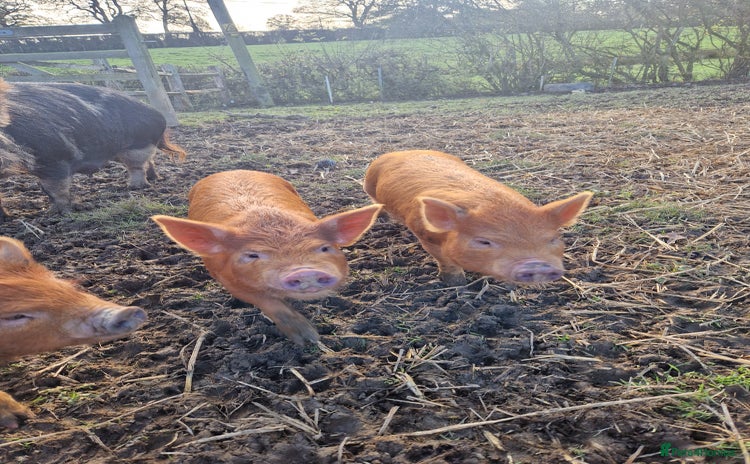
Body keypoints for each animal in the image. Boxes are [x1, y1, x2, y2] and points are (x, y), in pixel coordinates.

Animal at [0, 79, 186, 220]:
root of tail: (159, 115)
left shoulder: (54, 157)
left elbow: (55, 189)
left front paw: (56, 213)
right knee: (149, 162)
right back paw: (153, 179)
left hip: (137, 147)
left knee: (137, 167)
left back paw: (134, 187)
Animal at [152, 170, 382, 345]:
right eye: (252, 255)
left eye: (325, 248)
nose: (305, 271)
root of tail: (232, 170)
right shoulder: (226, 279)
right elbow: (268, 303)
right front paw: (308, 337)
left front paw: (313, 338)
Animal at [363, 150, 593, 286]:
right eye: (483, 241)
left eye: (553, 239)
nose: (537, 265)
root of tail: (401, 151)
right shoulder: (423, 233)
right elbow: (445, 260)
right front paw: (456, 283)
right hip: (369, 186)